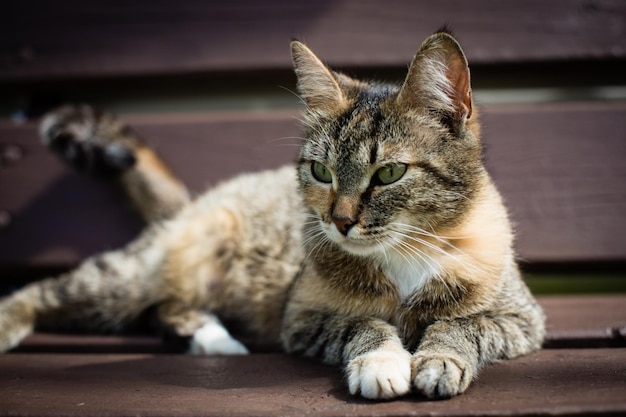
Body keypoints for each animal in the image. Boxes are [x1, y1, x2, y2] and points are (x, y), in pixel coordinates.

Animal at [0, 30, 540, 398]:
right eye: (320, 170)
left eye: (388, 173)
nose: (340, 222)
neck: (404, 252)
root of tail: (194, 202)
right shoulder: (302, 319)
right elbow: (362, 324)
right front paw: (381, 362)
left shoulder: (521, 319)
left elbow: (464, 325)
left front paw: (439, 359)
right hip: (136, 273)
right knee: (54, 291)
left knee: (164, 308)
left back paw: (212, 338)